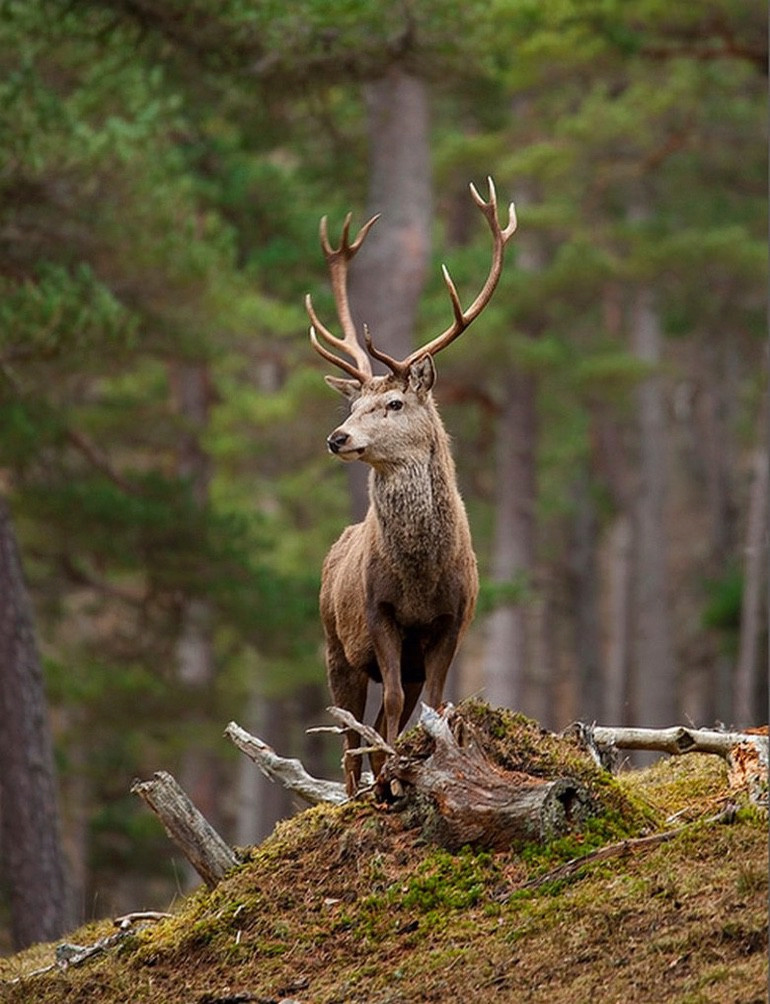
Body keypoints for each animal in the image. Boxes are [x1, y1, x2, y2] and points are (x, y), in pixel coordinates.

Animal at [307, 176, 518, 795]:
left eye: (395, 402)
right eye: (352, 404)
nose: (338, 437)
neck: (421, 576)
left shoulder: (453, 620)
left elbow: (433, 705)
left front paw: (414, 770)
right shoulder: (380, 614)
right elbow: (398, 703)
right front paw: (390, 783)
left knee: (378, 720)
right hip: (334, 644)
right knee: (350, 732)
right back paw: (360, 788)